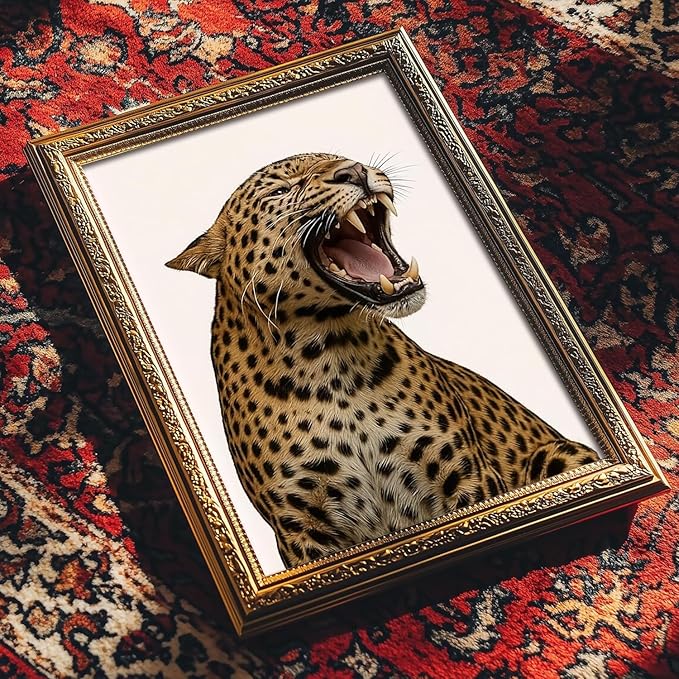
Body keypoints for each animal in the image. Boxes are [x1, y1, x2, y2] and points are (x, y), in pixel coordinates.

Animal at [167, 153, 599, 568]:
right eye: (281, 189)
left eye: (334, 155)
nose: (354, 170)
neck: (329, 356)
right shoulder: (301, 527)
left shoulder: (466, 477)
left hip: (556, 452)